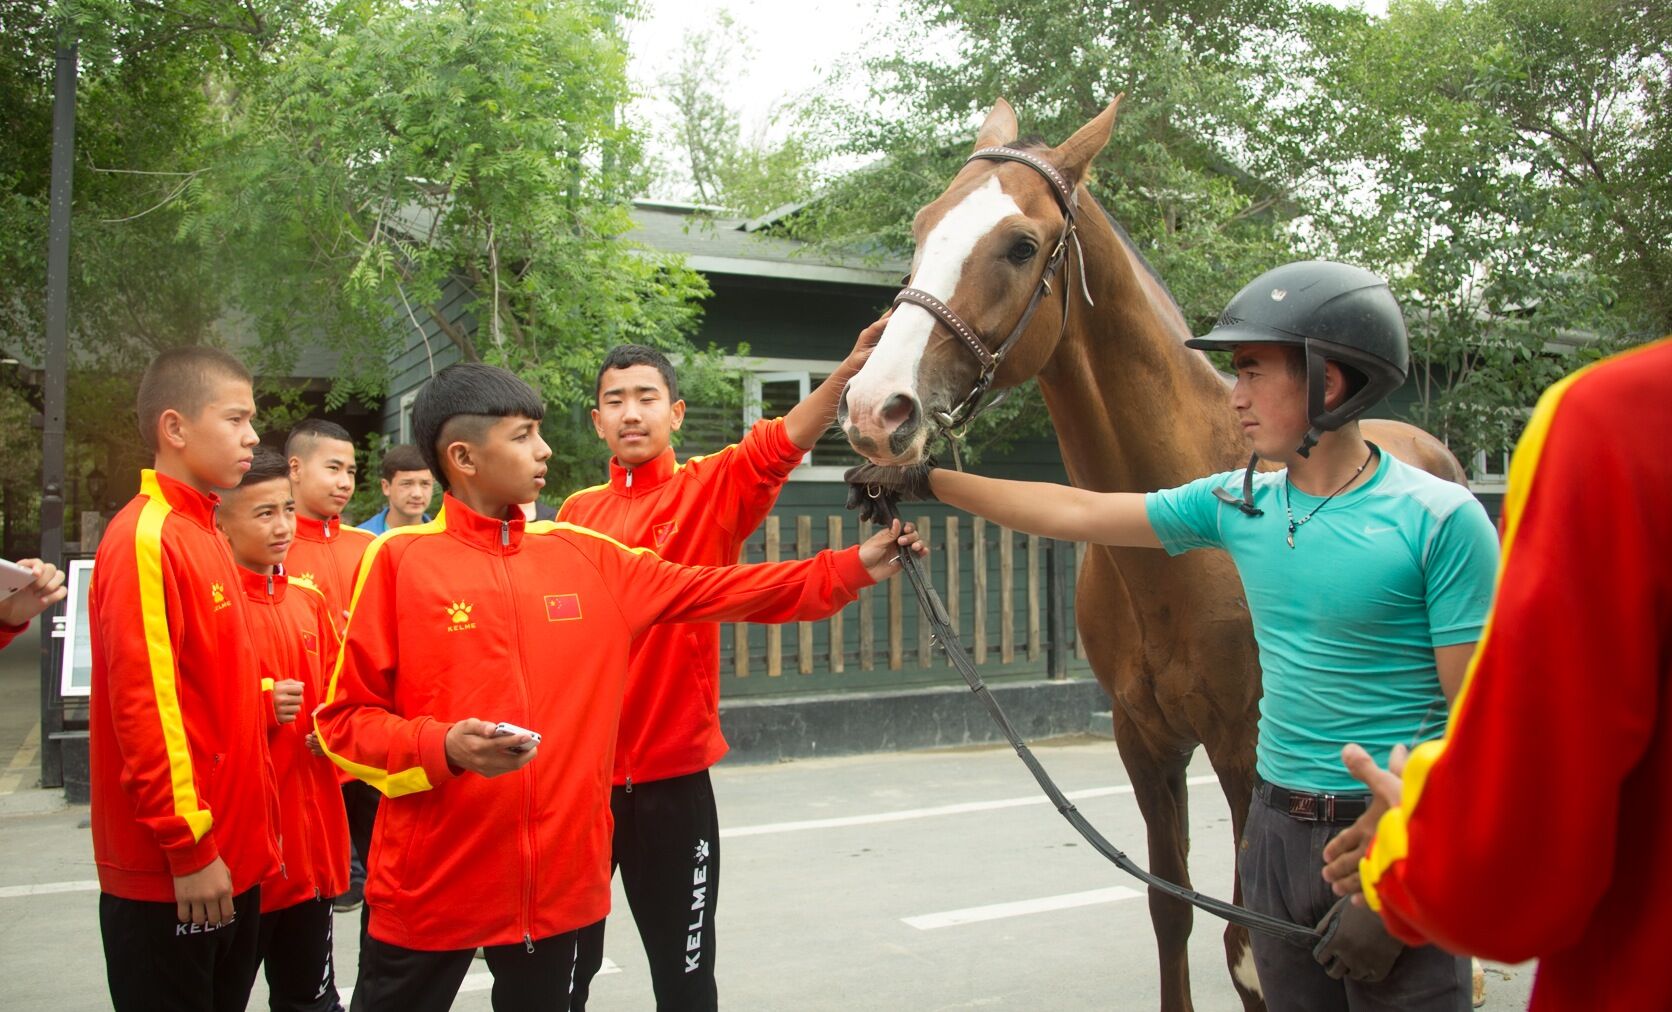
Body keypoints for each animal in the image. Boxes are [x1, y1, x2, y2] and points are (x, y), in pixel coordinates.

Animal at [836, 96, 1464, 1010]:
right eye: (923, 226)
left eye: (1020, 245)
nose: (873, 409)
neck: (1174, 553)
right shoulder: (1145, 743)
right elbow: (1174, 913)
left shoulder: (1246, 751)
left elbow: (1251, 945)